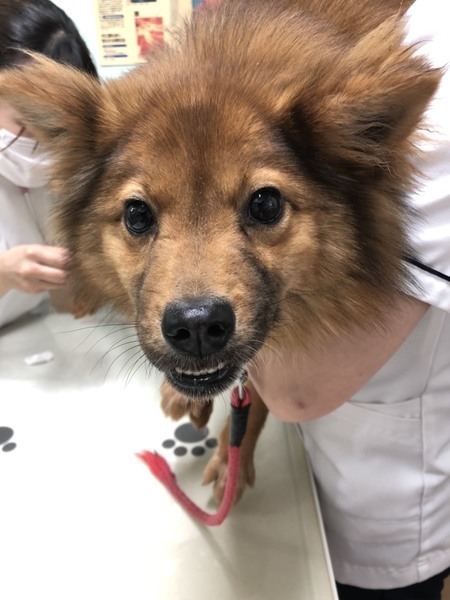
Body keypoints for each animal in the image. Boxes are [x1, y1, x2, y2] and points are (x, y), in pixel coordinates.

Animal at [0, 0, 440, 503]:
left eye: (266, 204)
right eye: (136, 214)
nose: (195, 326)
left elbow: (256, 392)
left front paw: (234, 455)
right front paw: (186, 399)